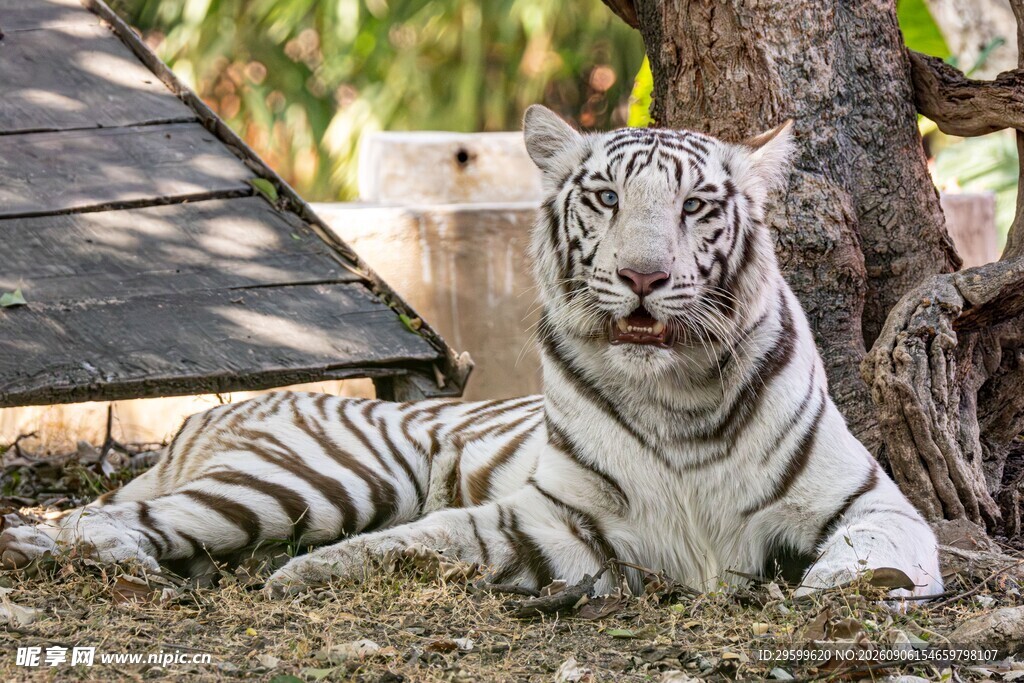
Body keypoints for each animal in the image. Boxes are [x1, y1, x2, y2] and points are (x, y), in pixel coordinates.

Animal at [0, 105, 942, 599]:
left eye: (697, 207)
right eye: (607, 197)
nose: (642, 277)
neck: (676, 397)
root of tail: (212, 413)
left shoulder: (872, 502)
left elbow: (878, 553)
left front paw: (831, 587)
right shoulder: (557, 517)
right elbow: (441, 532)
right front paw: (306, 575)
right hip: (316, 478)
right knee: (97, 518)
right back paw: (85, 555)